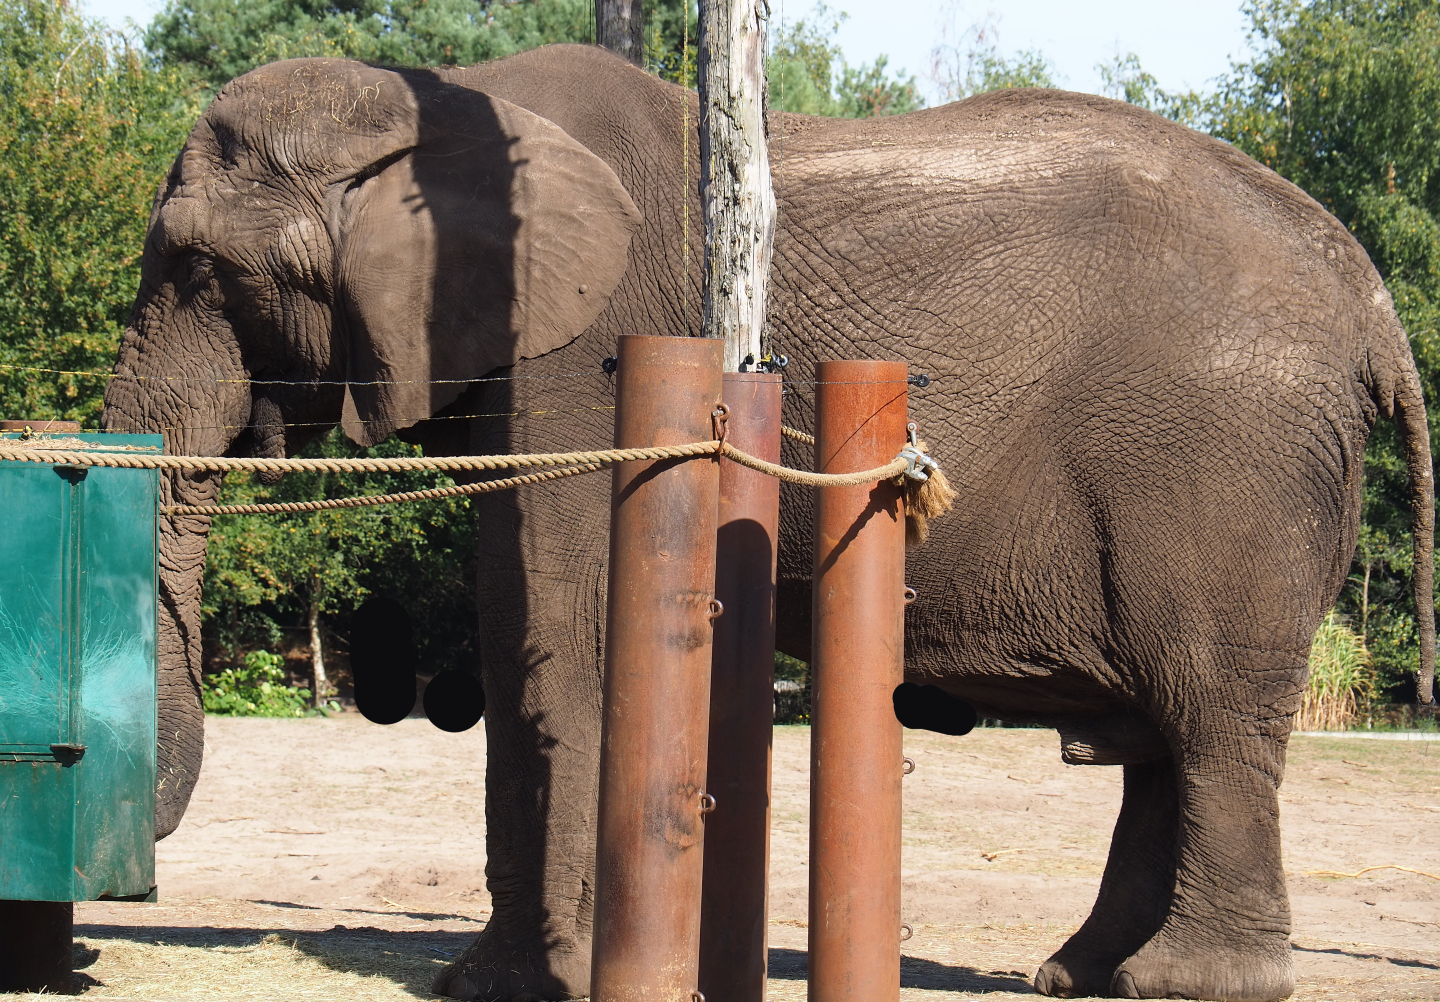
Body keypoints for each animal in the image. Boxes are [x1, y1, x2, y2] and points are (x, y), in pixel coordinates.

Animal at [100, 44, 1435, 1002]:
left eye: (203, 271)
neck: (434, 101)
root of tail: (1372, 298)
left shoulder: (586, 347)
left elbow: (561, 632)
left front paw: (557, 983)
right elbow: (510, 612)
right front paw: (485, 986)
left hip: (1225, 464)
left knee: (1207, 709)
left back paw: (1187, 984)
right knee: (1165, 727)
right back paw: (1080, 974)